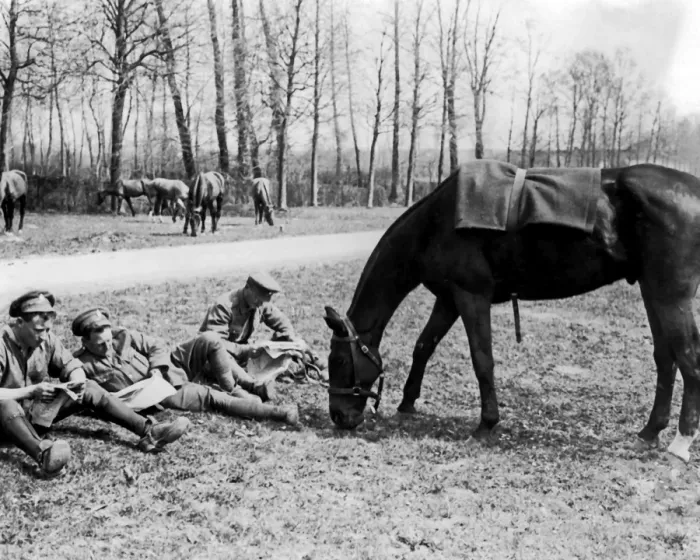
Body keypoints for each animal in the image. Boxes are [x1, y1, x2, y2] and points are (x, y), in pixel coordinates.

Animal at [323, 160, 700, 463]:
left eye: (339, 361)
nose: (339, 417)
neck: (434, 224)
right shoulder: (448, 299)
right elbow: (423, 347)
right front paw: (407, 404)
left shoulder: (471, 296)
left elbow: (481, 358)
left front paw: (486, 423)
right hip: (652, 291)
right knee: (666, 359)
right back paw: (650, 432)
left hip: (670, 296)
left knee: (688, 358)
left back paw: (681, 442)